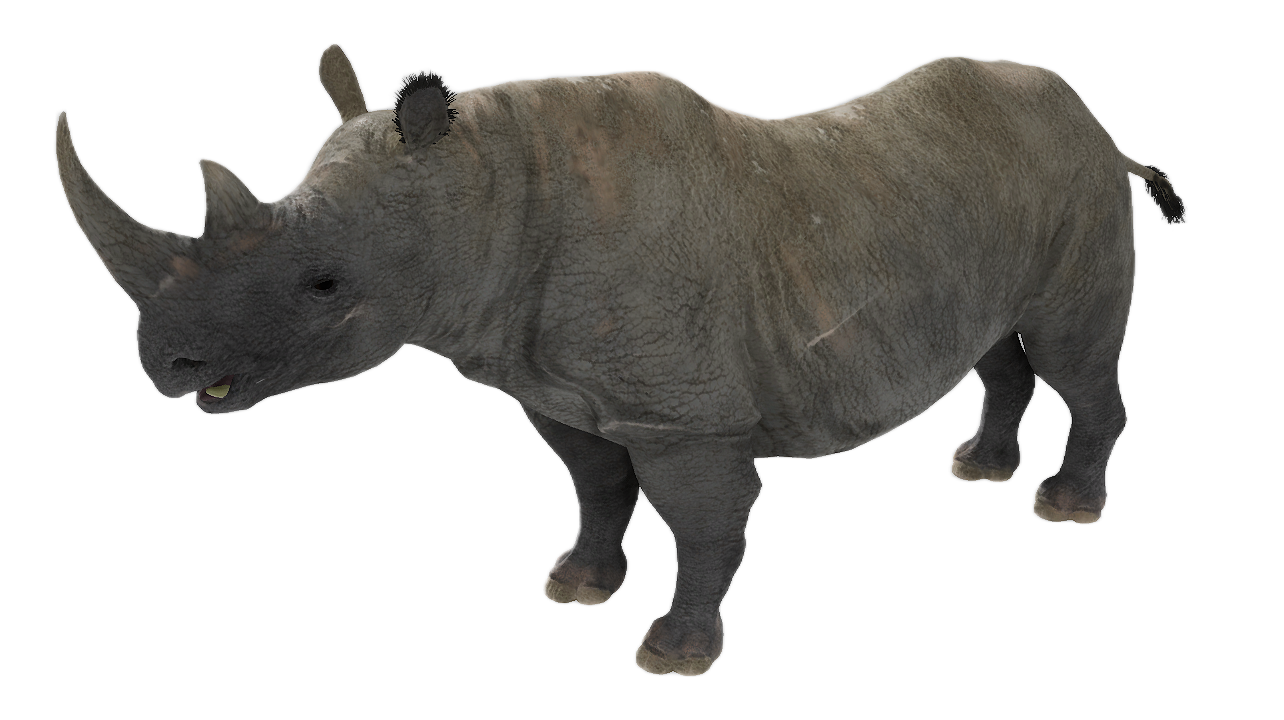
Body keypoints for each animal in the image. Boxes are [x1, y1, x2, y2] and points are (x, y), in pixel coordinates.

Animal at [55, 43, 1187, 675]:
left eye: (325, 285)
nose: (166, 364)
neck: (488, 188)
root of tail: (1101, 123)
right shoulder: (556, 386)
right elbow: (595, 488)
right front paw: (575, 587)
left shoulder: (685, 415)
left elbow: (703, 523)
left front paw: (673, 653)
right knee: (998, 345)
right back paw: (979, 470)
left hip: (1077, 182)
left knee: (1070, 352)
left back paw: (1065, 507)